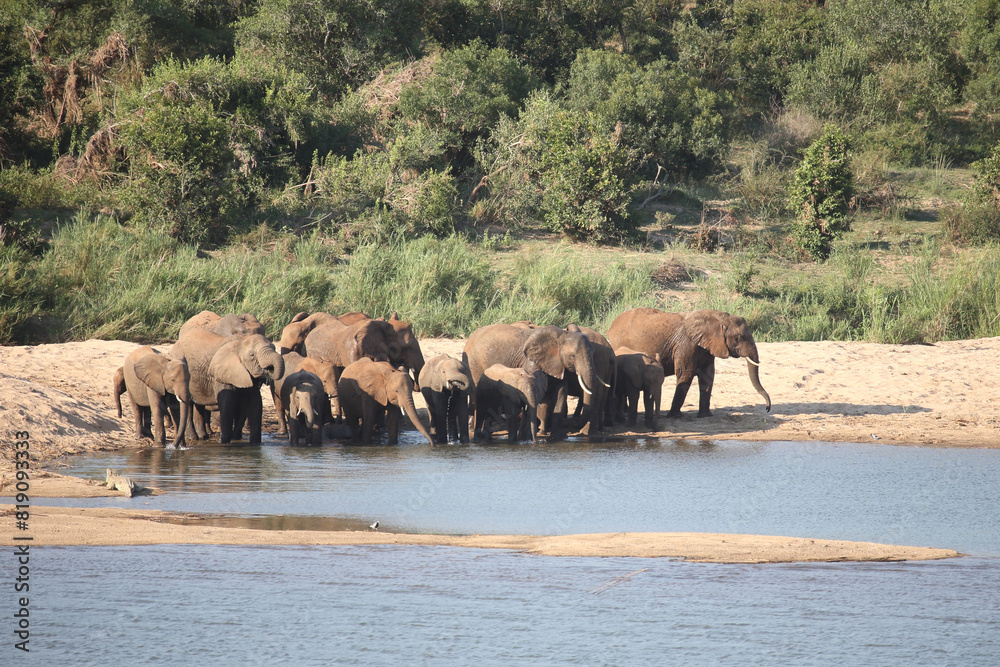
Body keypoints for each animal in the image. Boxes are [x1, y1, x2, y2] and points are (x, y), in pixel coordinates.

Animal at [463, 324, 599, 439]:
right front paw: (524, 438)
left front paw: (558, 438)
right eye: (572, 356)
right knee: (476, 395)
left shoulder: (558, 364)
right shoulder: (530, 361)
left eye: (593, 352)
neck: (561, 335)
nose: (574, 424)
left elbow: (560, 394)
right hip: (473, 364)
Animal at [607, 308, 770, 418]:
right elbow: (686, 373)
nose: (767, 409)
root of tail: (612, 325)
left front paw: (705, 416)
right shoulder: (687, 344)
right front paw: (675, 416)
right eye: (739, 338)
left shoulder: (706, 347)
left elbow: (707, 377)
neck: (717, 318)